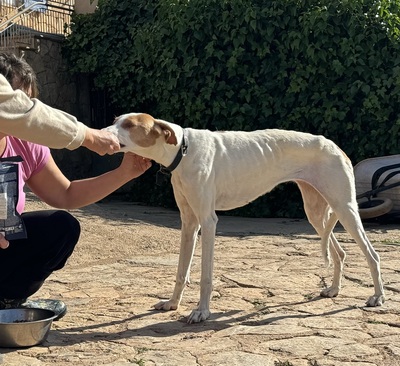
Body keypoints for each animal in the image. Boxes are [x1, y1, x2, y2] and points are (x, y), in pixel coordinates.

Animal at [105, 112, 384, 324]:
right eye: (116, 119)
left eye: (130, 125)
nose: (102, 132)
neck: (183, 150)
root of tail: (336, 146)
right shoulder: (188, 224)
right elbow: (181, 271)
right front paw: (173, 303)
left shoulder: (207, 222)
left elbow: (205, 276)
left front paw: (201, 312)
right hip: (317, 212)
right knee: (340, 253)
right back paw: (335, 289)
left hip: (345, 209)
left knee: (373, 255)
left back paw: (378, 297)